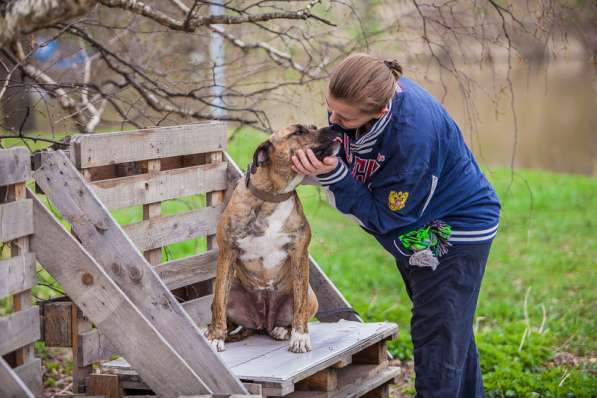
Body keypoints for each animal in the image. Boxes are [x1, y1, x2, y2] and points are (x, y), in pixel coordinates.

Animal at [206, 123, 340, 352]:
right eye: (299, 132)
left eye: (313, 127)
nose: (334, 128)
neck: (273, 197)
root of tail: (263, 323)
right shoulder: (227, 253)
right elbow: (220, 303)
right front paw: (216, 336)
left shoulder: (299, 254)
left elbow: (300, 306)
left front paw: (300, 337)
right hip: (233, 290)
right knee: (221, 304)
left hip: (311, 296)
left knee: (295, 311)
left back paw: (282, 330)